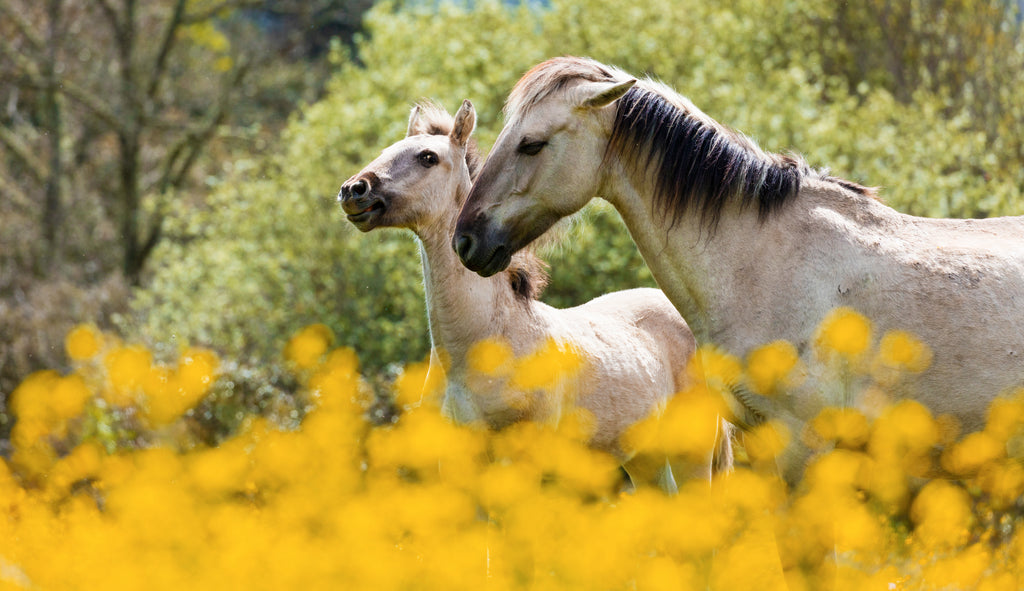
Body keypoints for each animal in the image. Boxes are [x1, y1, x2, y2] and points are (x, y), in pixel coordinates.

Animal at [335, 100, 729, 487]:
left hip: (691, 456)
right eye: (385, 151)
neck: (483, 342)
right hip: (645, 460)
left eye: (427, 157)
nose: (354, 190)